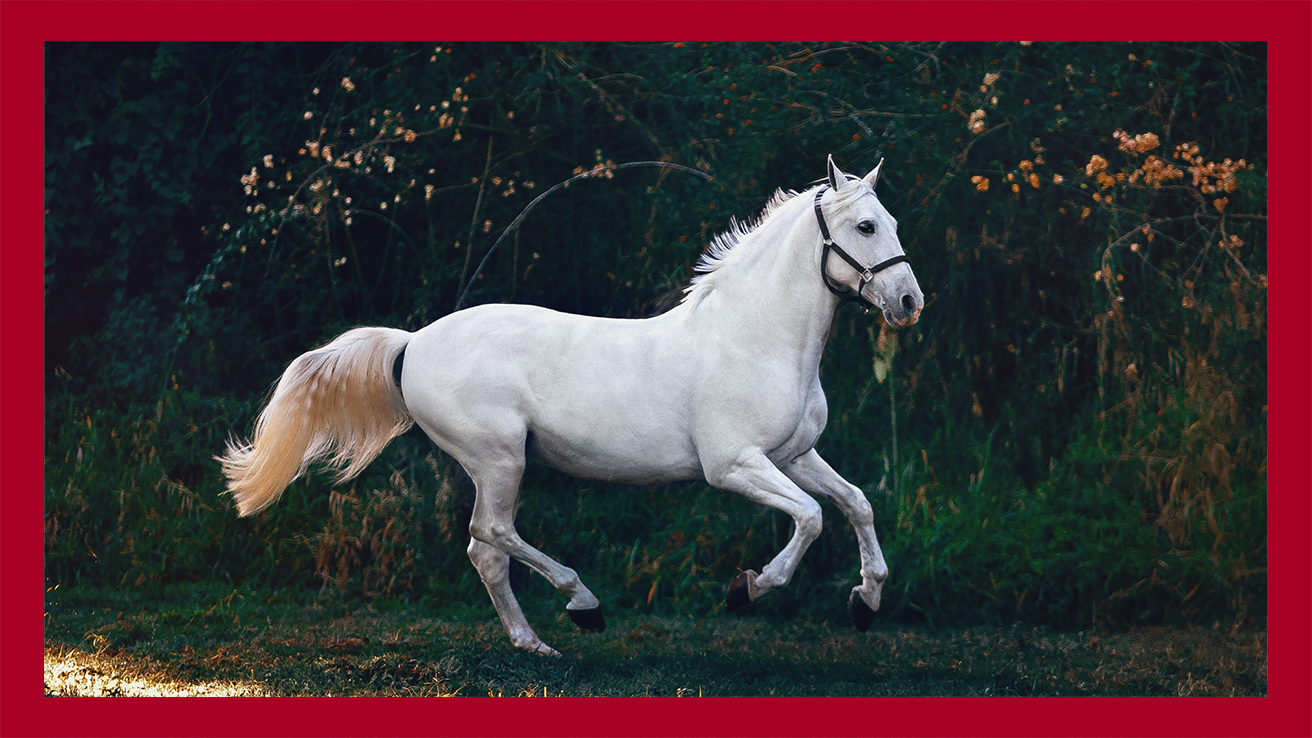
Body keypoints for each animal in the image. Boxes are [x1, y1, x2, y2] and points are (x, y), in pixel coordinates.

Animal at [218, 155, 924, 655]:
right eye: (865, 226)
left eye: (892, 223)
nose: (909, 302)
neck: (753, 338)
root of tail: (413, 342)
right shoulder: (735, 466)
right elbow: (810, 518)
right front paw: (747, 590)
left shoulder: (795, 455)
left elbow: (855, 503)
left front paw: (866, 601)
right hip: (499, 458)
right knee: (491, 535)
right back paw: (582, 605)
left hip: (496, 465)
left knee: (485, 551)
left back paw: (534, 643)